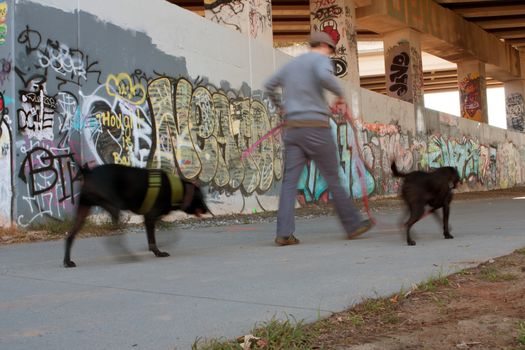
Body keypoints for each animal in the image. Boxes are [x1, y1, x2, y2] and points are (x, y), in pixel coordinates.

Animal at [66, 164, 211, 268]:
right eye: (201, 198)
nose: (207, 210)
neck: (176, 189)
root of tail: (88, 173)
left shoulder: (152, 217)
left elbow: (171, 233)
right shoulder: (151, 217)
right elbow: (154, 239)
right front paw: (158, 252)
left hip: (83, 209)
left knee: (70, 236)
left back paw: (67, 262)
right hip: (113, 206)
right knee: (114, 239)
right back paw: (129, 256)